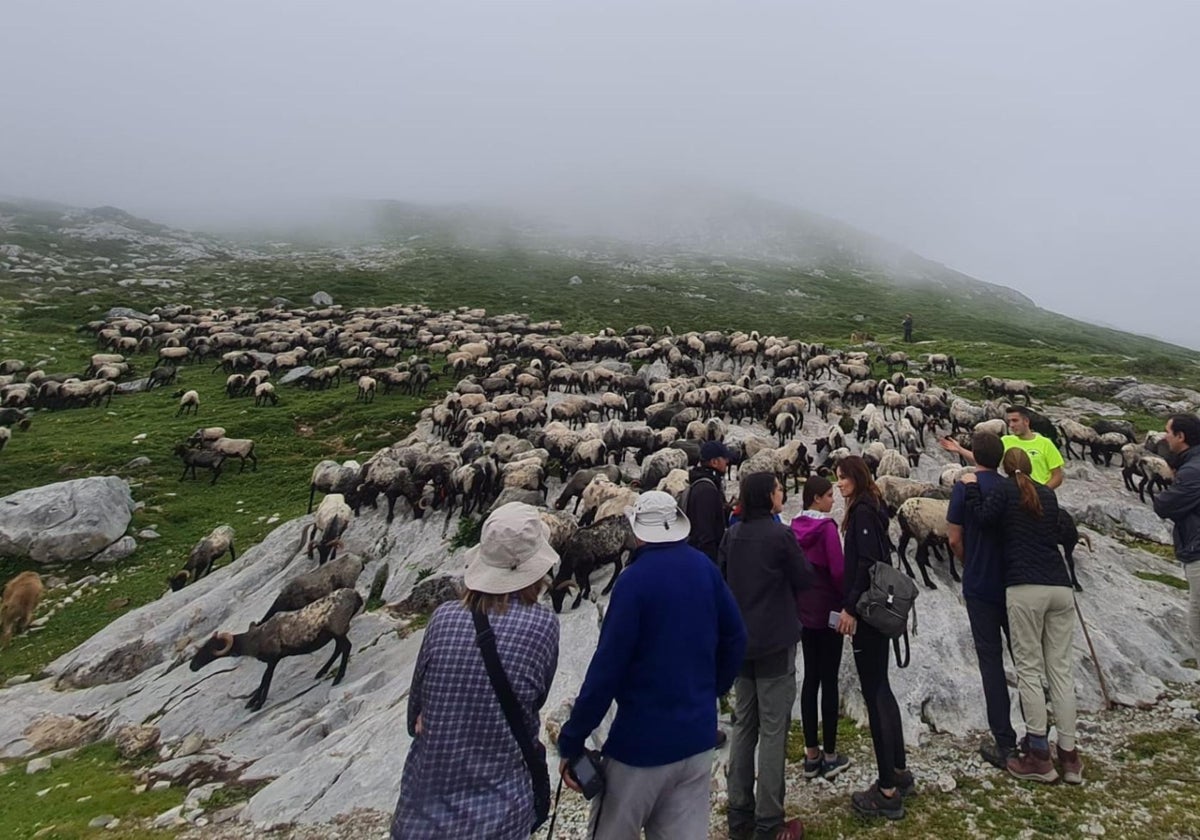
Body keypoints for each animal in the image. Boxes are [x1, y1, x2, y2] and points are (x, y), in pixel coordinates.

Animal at [187, 588, 362, 710]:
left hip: (337, 629)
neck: (254, 638)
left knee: (346, 647)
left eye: (210, 648)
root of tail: (355, 595)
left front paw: (257, 704)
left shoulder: (273, 659)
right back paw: (321, 672)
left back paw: (337, 678)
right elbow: (263, 680)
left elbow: (266, 679)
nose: (192, 666)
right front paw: (252, 702)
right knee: (339, 648)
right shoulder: (271, 661)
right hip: (334, 633)